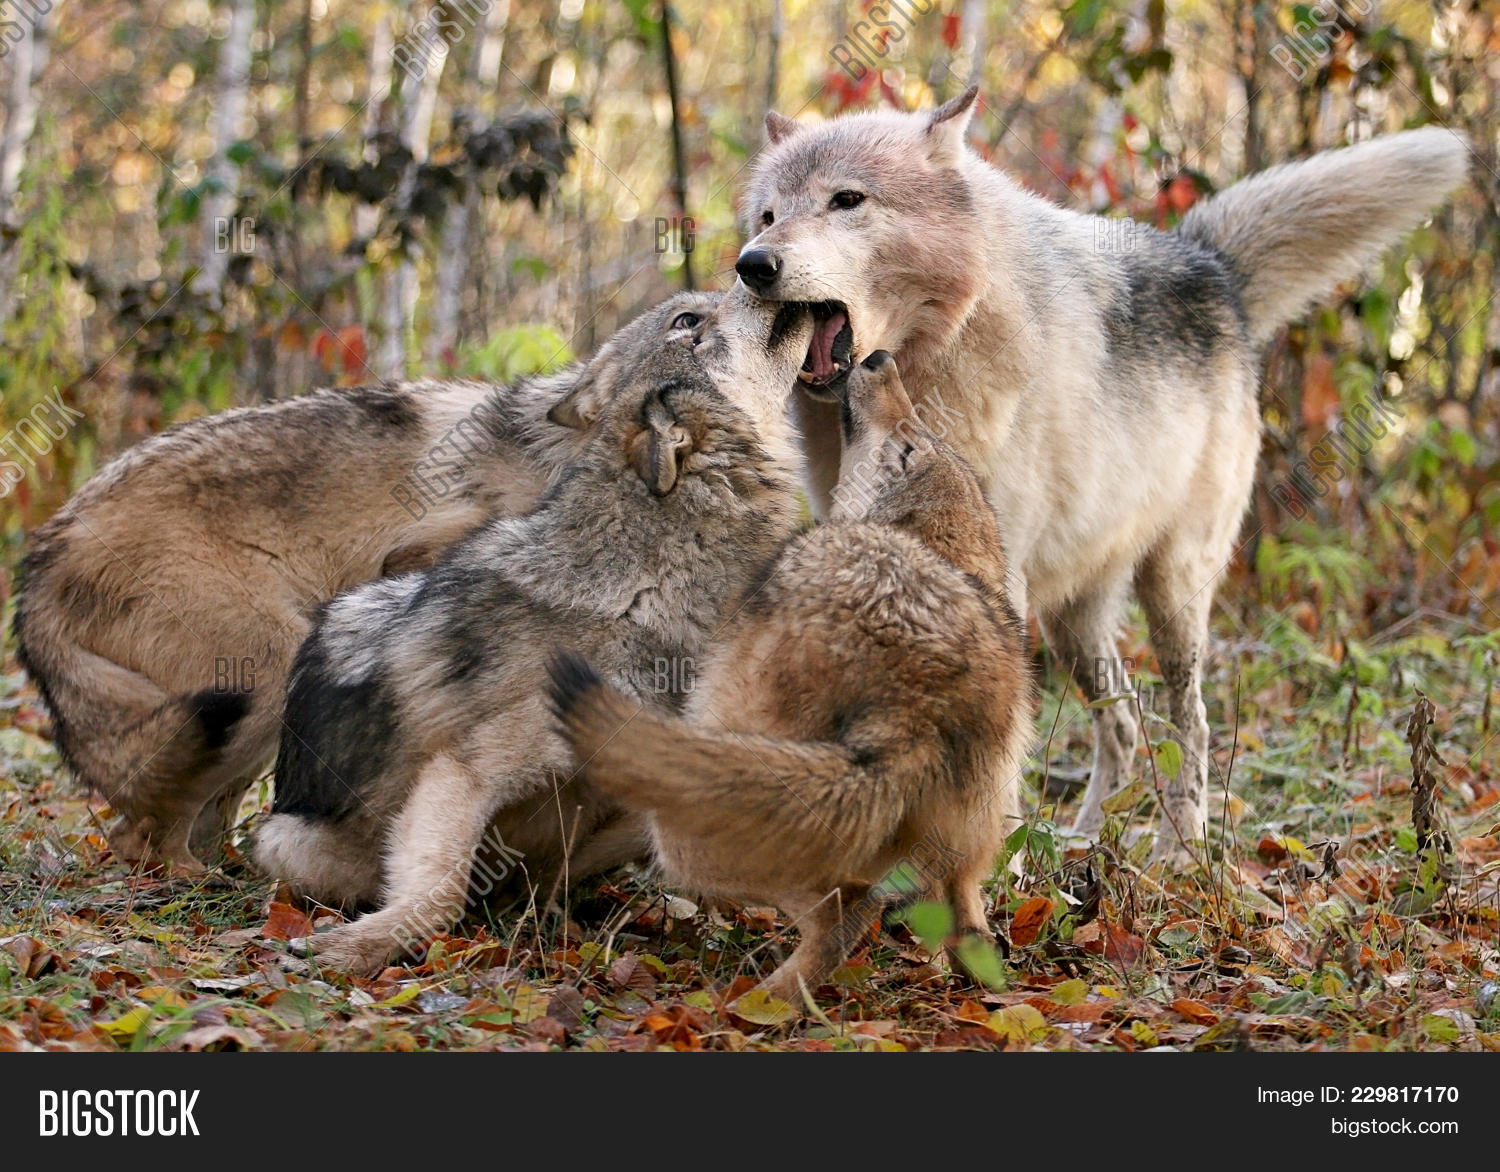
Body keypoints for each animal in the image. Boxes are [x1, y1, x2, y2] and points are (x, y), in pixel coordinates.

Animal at [11, 293, 722, 872]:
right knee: (141, 838)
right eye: (685, 321)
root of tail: (41, 554)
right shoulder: (414, 561)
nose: (744, 272)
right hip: (264, 672)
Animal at [253, 288, 811, 975]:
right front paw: (361, 947)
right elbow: (440, 891)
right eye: (687, 323)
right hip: (287, 838)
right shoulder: (465, 770)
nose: (751, 271)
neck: (642, 588)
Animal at [549, 350, 1033, 1001]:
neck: (938, 552)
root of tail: (914, 702)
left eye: (907, 446)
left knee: (841, 915)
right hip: (957, 838)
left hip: (699, 823)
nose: (879, 358)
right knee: (966, 927)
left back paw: (752, 1003)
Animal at [734, 91, 1469, 861]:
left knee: (1189, 719)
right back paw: (1084, 840)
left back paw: (1181, 845)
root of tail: (1209, 264)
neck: (942, 352)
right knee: (1121, 720)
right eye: (768, 214)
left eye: (847, 200)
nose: (753, 264)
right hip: (1075, 626)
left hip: (1172, 592)